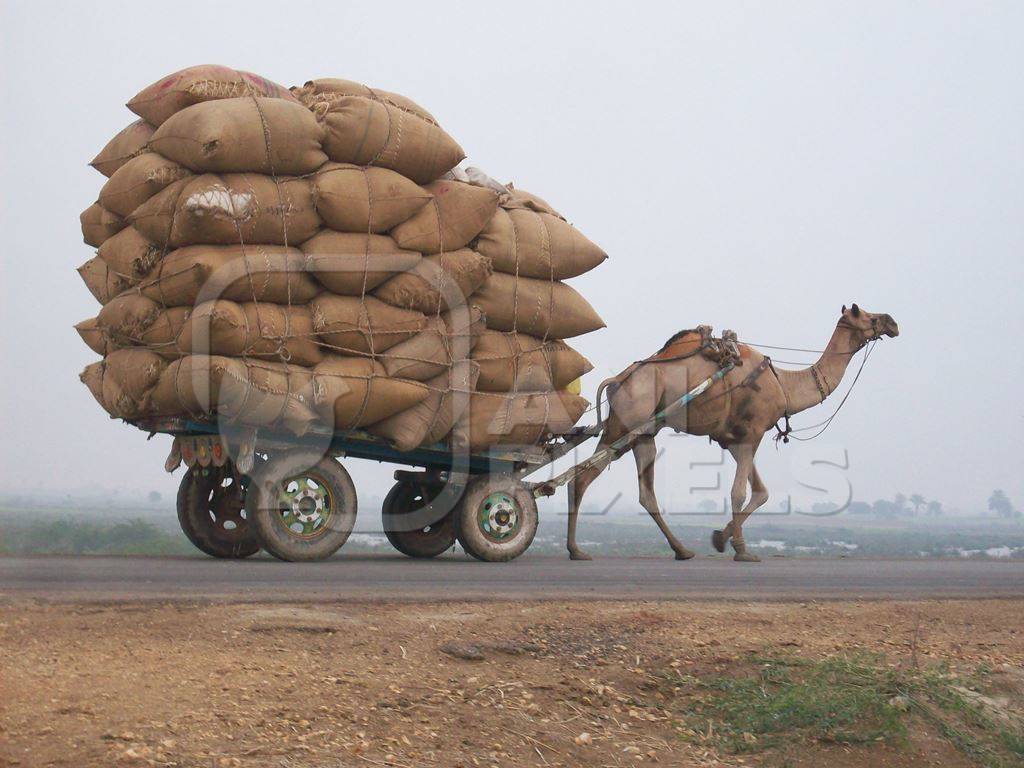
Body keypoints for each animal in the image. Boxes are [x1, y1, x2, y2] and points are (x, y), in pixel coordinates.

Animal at [569, 303, 897, 561]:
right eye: (865, 314)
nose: (892, 322)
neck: (784, 385)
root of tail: (617, 380)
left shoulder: (734, 440)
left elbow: (761, 492)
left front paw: (720, 538)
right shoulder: (753, 433)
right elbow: (739, 492)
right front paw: (742, 549)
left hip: (640, 433)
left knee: (640, 492)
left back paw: (680, 550)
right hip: (626, 423)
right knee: (581, 477)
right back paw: (577, 550)